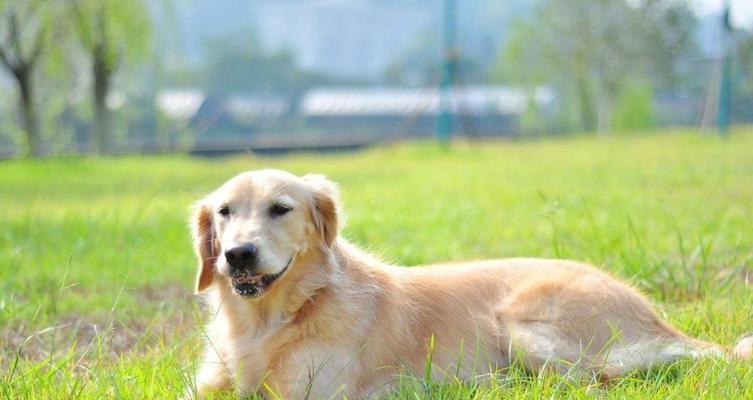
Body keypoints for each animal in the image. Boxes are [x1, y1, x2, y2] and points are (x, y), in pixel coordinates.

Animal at [189, 168, 752, 396]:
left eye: (280, 209)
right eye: (225, 212)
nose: (238, 255)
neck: (266, 322)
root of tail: (658, 320)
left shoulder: (313, 394)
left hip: (523, 325)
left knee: (596, 382)